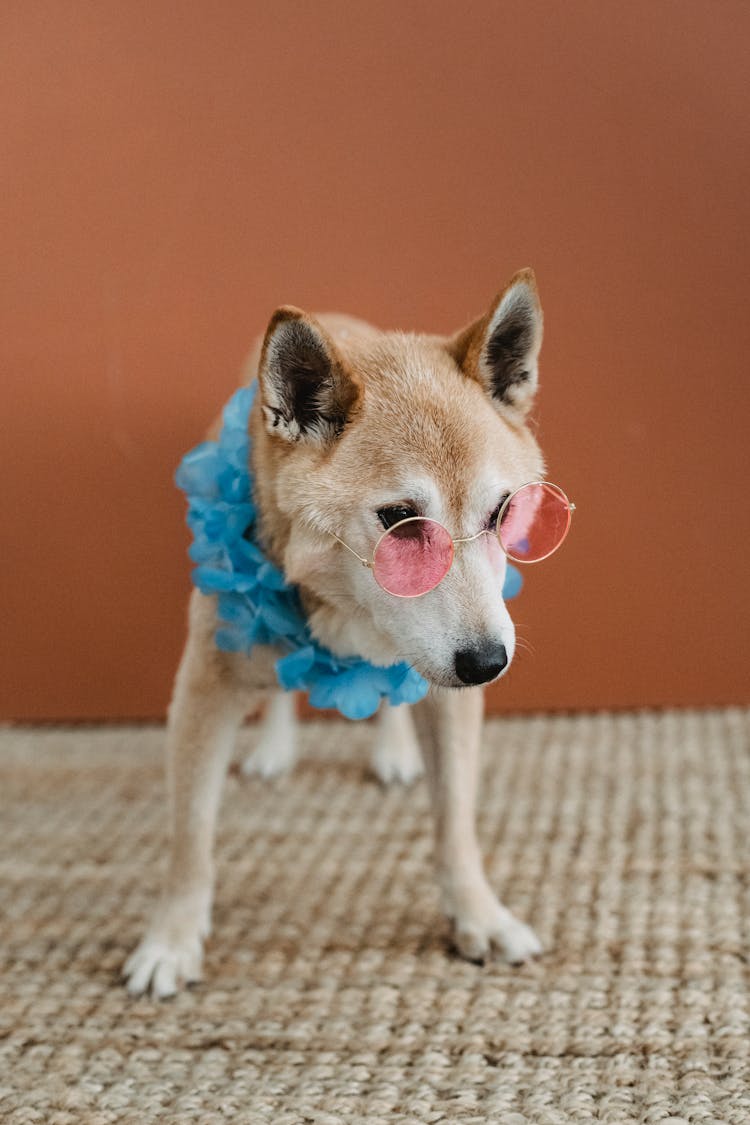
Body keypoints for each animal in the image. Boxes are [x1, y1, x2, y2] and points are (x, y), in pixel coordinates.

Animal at [125, 267, 566, 999]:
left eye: (502, 511)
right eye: (400, 519)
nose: (488, 661)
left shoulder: (452, 695)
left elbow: (456, 822)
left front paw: (479, 913)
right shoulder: (203, 688)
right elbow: (191, 837)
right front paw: (171, 939)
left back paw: (393, 748)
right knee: (282, 685)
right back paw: (276, 746)